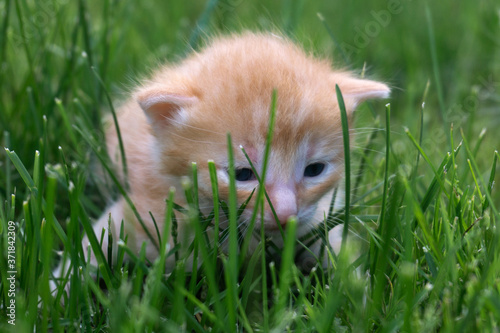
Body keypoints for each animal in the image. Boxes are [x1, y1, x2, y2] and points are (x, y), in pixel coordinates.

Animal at [84, 30, 388, 270]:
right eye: (242, 175)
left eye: (315, 170)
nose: (286, 214)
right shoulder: (145, 215)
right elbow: (95, 243)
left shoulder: (316, 222)